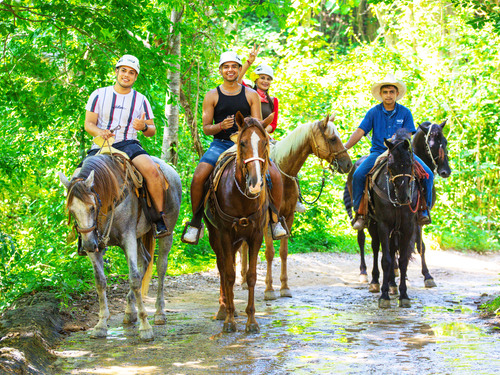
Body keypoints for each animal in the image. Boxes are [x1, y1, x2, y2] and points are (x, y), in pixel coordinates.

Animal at [59, 154, 182, 342]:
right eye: (72, 211)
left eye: (92, 207)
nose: (86, 245)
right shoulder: (96, 244)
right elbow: (100, 281)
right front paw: (101, 325)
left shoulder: (128, 237)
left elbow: (134, 279)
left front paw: (145, 327)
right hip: (138, 237)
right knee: (145, 260)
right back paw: (130, 312)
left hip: (166, 232)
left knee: (161, 267)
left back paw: (159, 313)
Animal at [203, 111, 274, 332]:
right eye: (242, 143)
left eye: (264, 143)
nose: (256, 183)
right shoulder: (225, 234)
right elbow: (229, 274)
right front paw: (229, 320)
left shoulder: (255, 236)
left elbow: (250, 276)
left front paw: (251, 321)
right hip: (215, 235)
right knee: (222, 267)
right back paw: (223, 309)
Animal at [241, 116, 354, 302]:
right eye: (332, 139)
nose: (347, 165)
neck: (283, 175)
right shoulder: (267, 220)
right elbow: (270, 252)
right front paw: (269, 290)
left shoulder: (288, 217)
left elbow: (284, 252)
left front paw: (285, 287)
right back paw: (243, 281)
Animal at [346, 120, 452, 290]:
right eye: (430, 143)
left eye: (445, 141)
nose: (445, 171)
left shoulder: (415, 220)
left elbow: (418, 246)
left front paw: (426, 276)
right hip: (366, 217)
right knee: (364, 240)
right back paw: (365, 273)